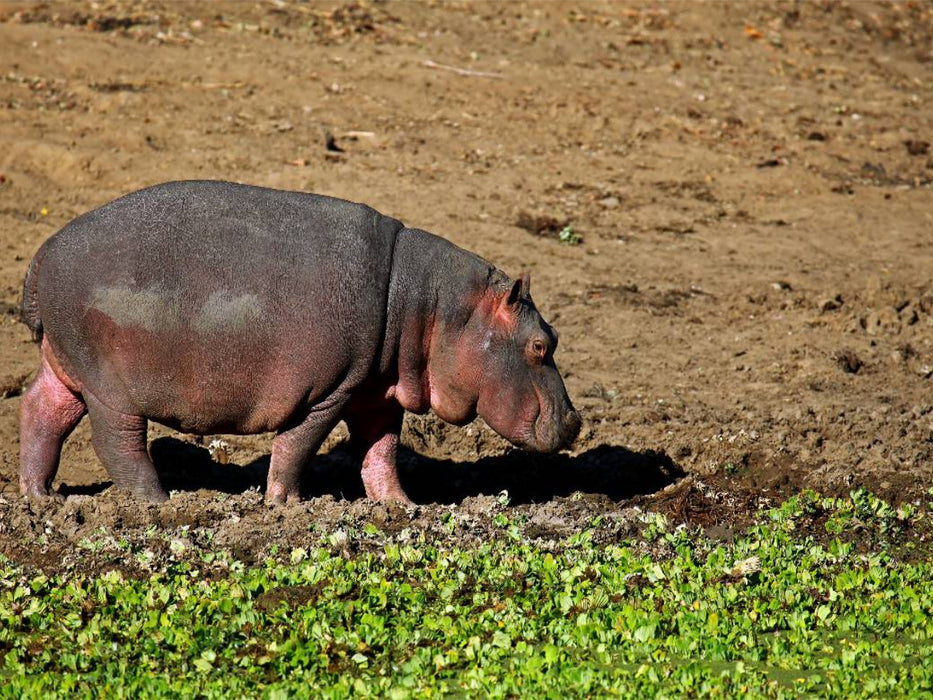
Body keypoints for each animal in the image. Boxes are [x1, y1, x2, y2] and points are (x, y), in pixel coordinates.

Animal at [19, 180, 581, 504]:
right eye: (539, 345)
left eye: (555, 334)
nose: (576, 421)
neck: (434, 308)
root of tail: (44, 251)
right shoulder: (329, 390)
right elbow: (296, 447)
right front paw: (284, 507)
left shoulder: (375, 391)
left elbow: (381, 451)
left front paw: (402, 509)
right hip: (111, 388)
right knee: (118, 444)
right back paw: (163, 506)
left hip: (69, 367)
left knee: (41, 411)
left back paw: (41, 501)